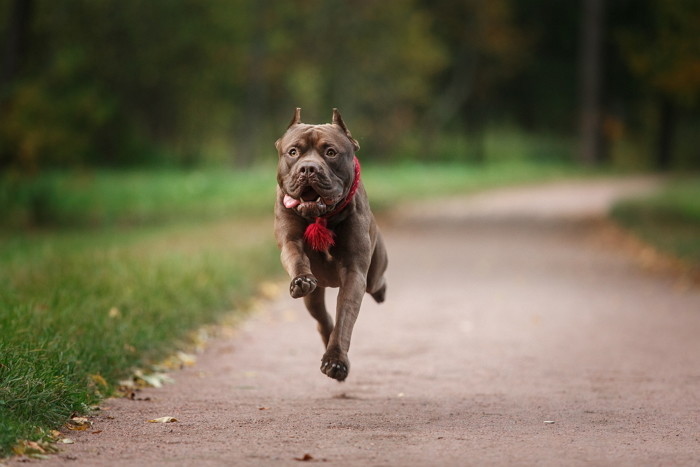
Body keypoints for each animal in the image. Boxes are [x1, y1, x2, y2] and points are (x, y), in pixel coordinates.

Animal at [274, 109, 388, 384]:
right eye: (293, 152)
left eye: (330, 152)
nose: (308, 168)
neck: (321, 217)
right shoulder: (290, 240)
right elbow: (295, 256)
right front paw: (301, 278)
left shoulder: (354, 274)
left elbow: (344, 319)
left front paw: (336, 361)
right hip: (313, 298)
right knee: (322, 319)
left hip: (375, 271)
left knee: (376, 284)